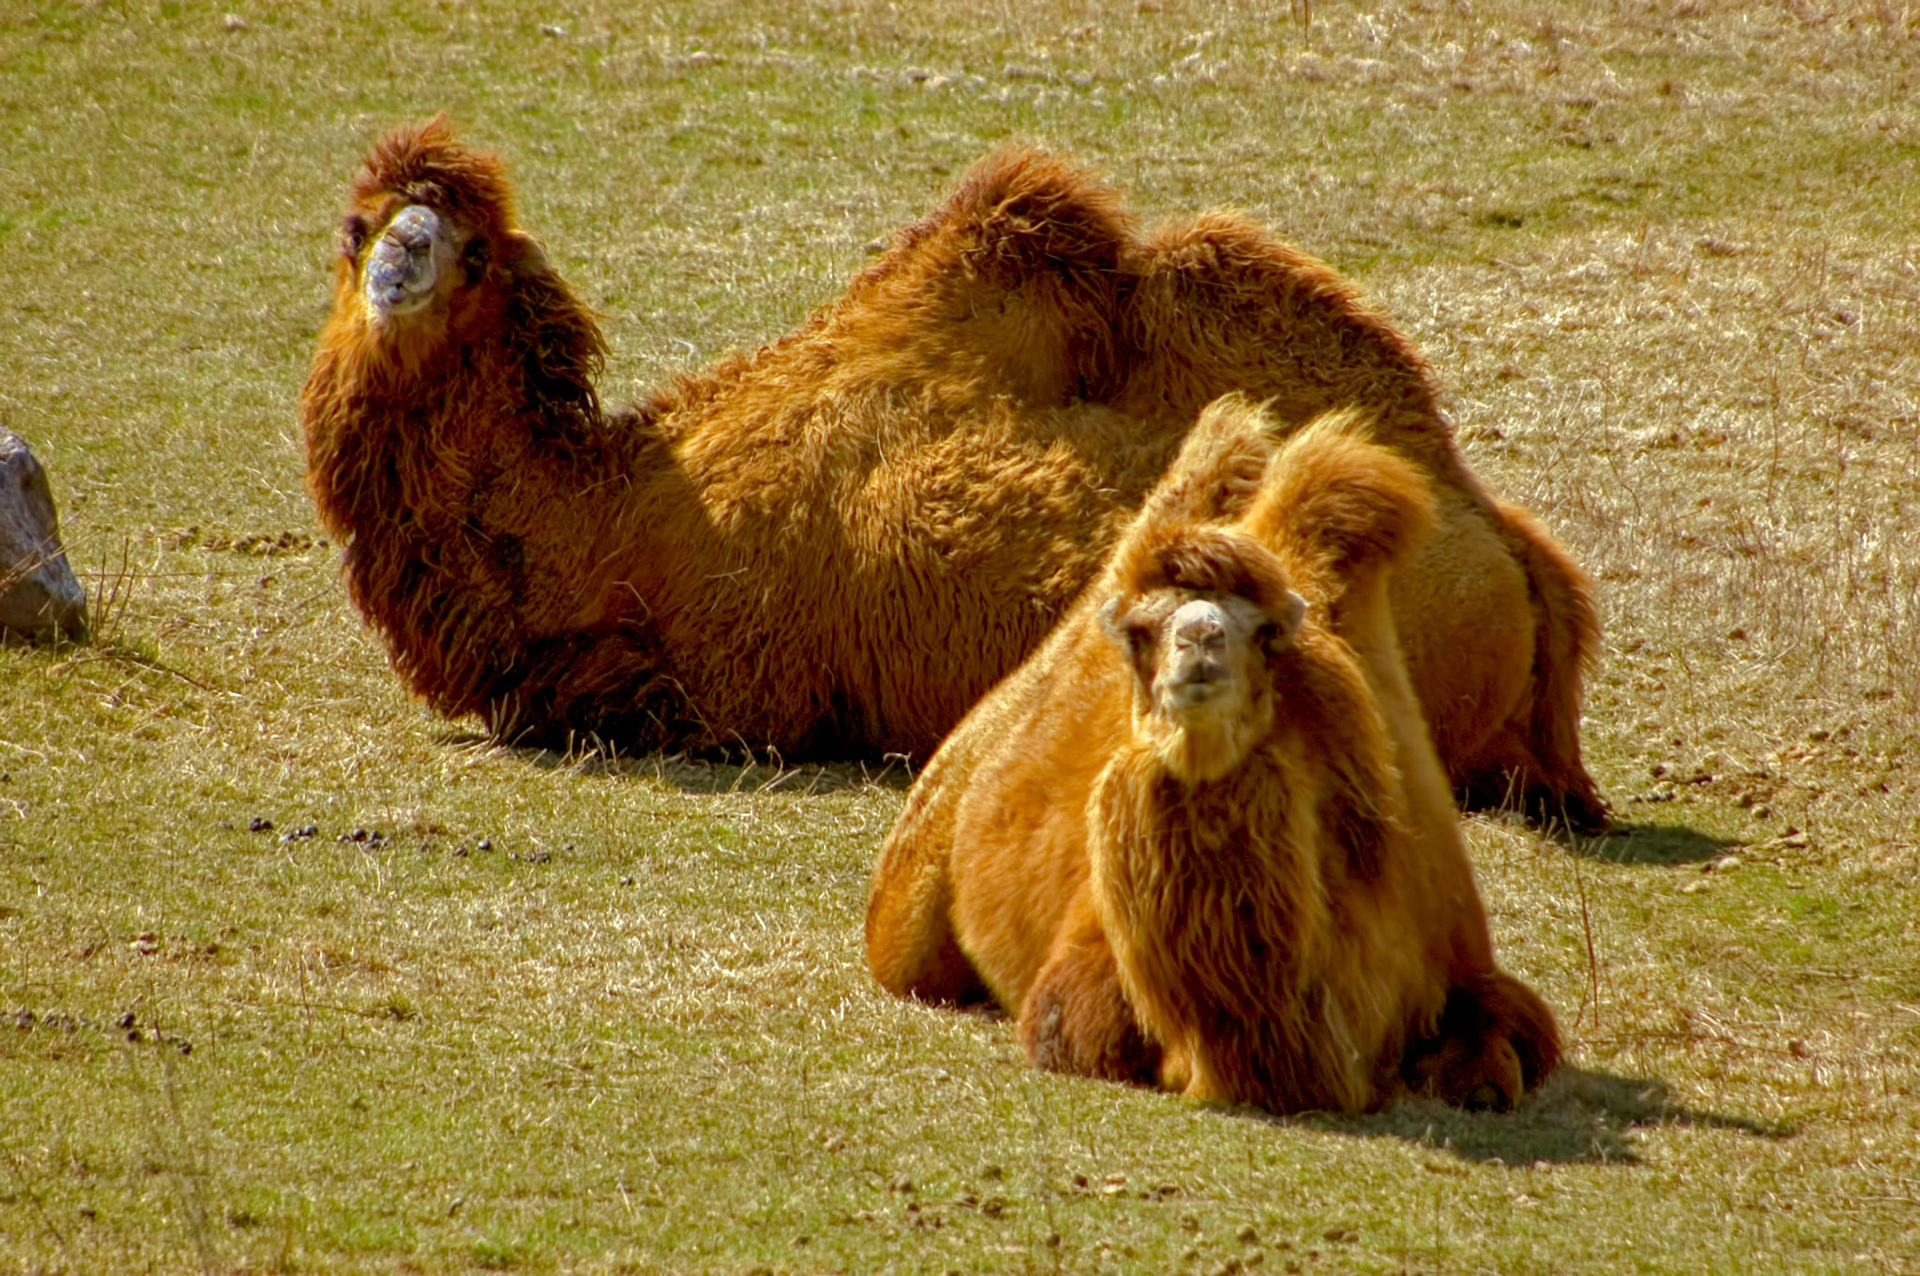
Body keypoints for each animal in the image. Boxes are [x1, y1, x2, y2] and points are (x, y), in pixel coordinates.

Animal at [301, 118, 1603, 830]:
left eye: (470, 251)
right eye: (360, 228)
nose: (403, 262)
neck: (610, 515)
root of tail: (1519, 559)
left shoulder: (731, 695)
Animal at [865, 399, 1562, 1112]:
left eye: (1263, 632)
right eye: (1140, 632)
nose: (1199, 639)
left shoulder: (1463, 962)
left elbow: (1494, 1049)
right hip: (909, 911)